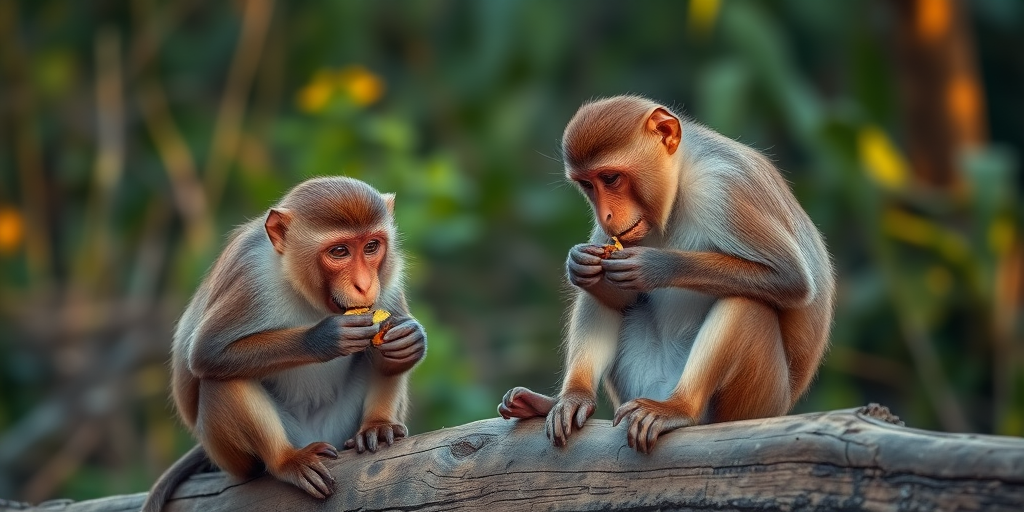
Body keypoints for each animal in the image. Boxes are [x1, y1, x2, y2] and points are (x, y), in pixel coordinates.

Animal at [141, 176, 427, 511]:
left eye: (371, 246)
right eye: (339, 251)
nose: (365, 285)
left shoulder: (388, 278)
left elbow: (388, 354)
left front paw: (410, 340)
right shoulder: (250, 273)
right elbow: (206, 353)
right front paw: (324, 337)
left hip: (339, 426)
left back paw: (376, 428)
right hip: (236, 456)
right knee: (220, 380)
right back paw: (286, 461)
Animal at [499, 95, 834, 454]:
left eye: (611, 178)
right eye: (588, 184)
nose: (605, 216)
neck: (679, 187)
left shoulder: (725, 187)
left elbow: (791, 279)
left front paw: (653, 266)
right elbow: (611, 293)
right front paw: (579, 264)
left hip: (756, 400)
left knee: (748, 304)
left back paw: (679, 408)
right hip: (640, 380)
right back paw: (571, 398)